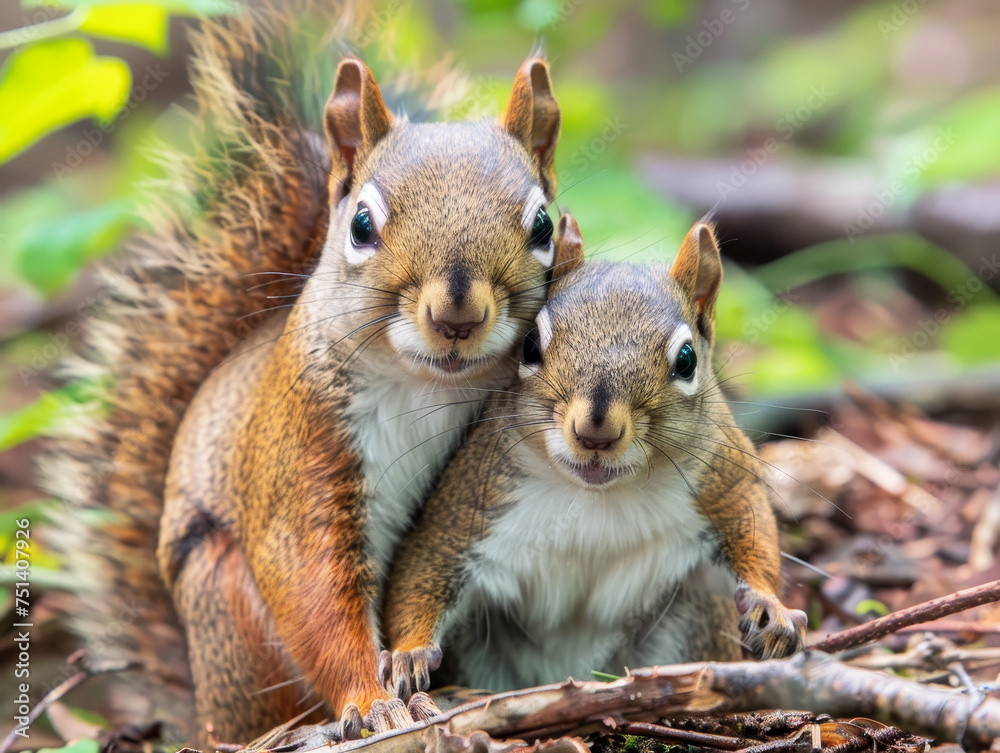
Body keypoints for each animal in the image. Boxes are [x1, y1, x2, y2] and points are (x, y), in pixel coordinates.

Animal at [45, 0, 584, 745]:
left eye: (541, 225)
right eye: (360, 224)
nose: (457, 313)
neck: (430, 386)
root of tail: (205, 708)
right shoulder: (303, 442)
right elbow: (309, 578)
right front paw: (372, 700)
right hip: (232, 611)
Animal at [381, 219, 807, 696]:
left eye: (687, 360)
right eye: (529, 345)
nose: (595, 433)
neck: (598, 497)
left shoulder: (722, 481)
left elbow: (753, 531)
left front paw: (772, 608)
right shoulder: (470, 505)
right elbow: (425, 566)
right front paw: (410, 653)